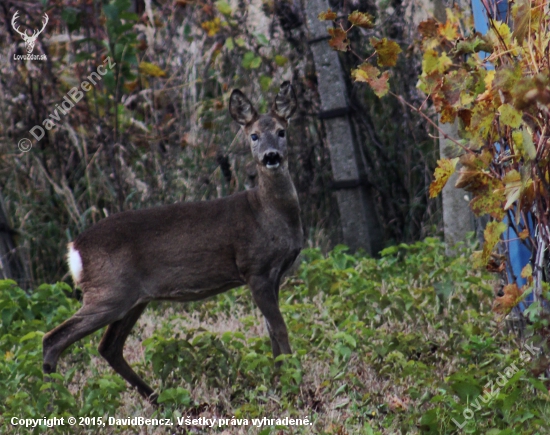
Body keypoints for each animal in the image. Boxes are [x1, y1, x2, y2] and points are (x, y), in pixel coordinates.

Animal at [41, 82, 304, 406]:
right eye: (253, 135)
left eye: (282, 131)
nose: (270, 157)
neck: (268, 212)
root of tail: (74, 247)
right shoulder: (254, 269)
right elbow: (279, 328)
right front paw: (293, 384)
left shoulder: (274, 275)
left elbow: (270, 330)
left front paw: (279, 381)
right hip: (109, 292)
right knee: (54, 338)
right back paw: (57, 401)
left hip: (133, 298)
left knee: (108, 347)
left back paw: (160, 399)